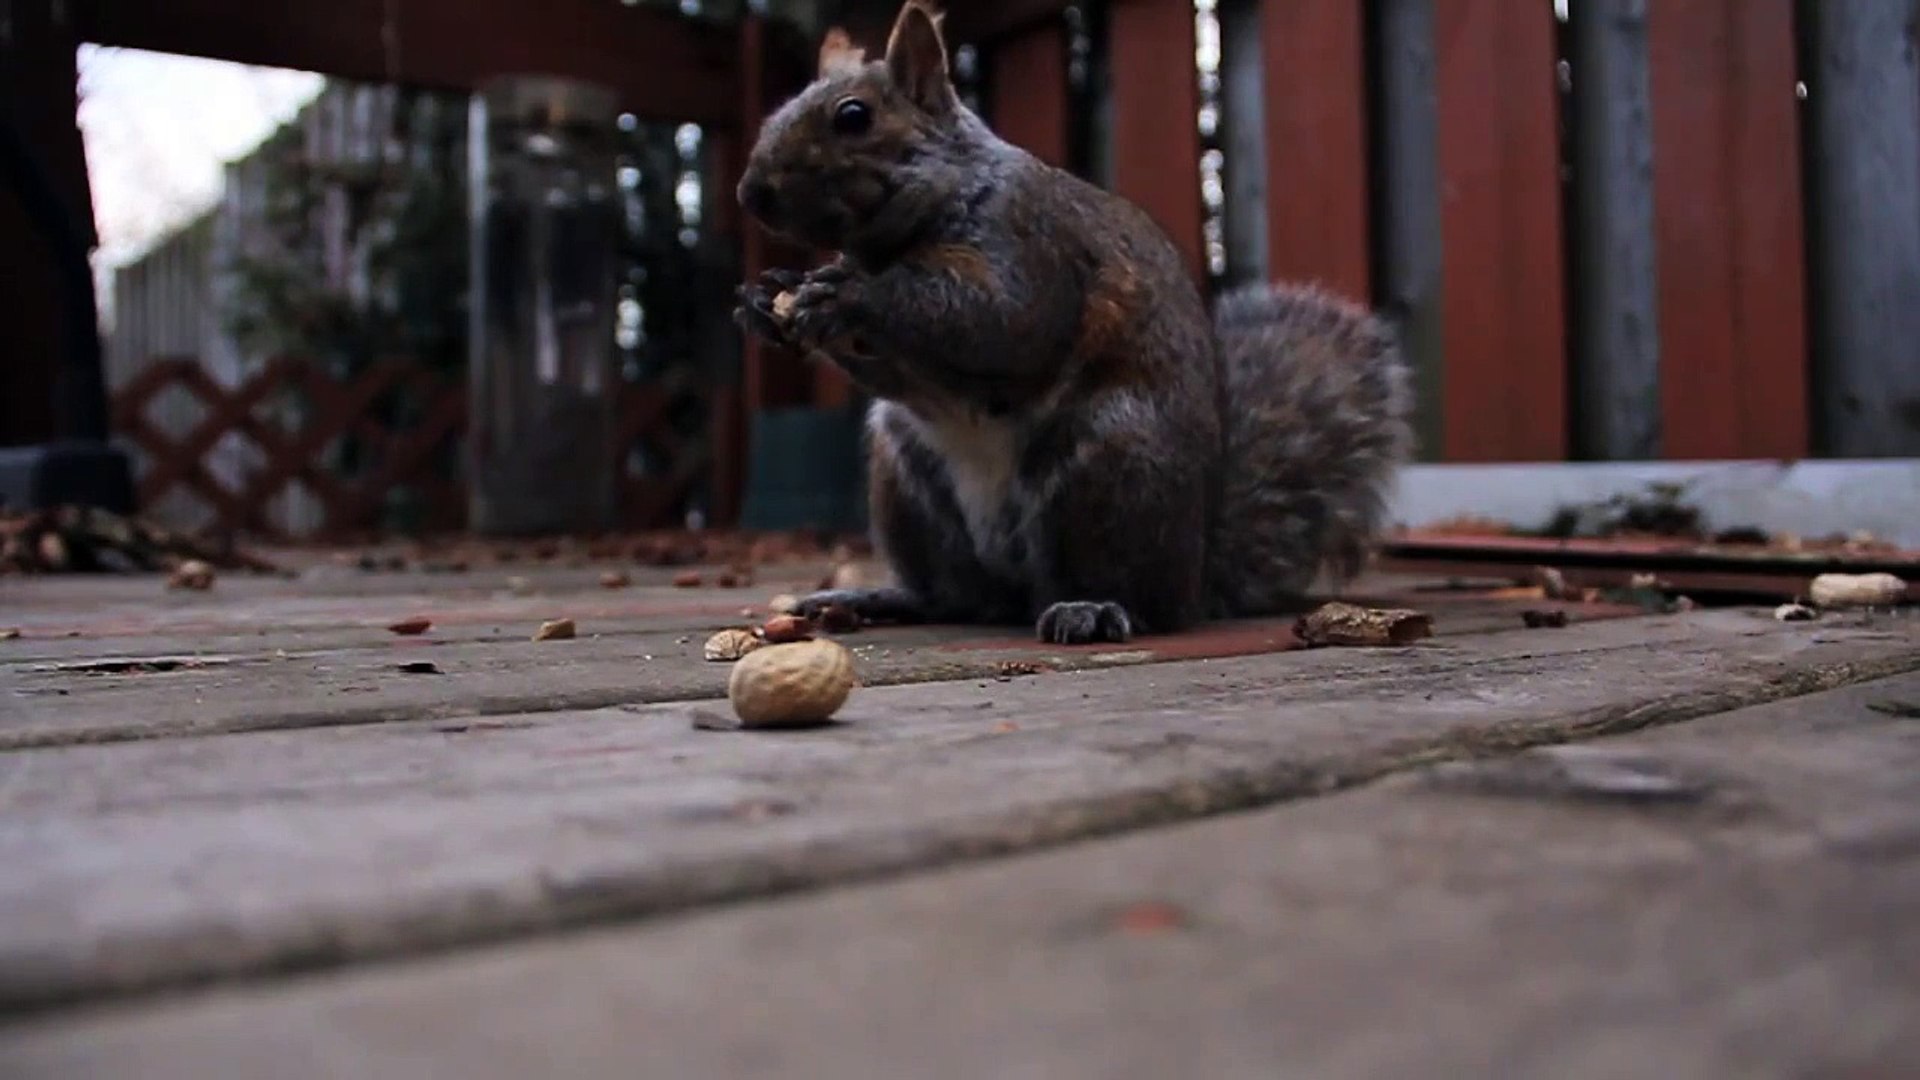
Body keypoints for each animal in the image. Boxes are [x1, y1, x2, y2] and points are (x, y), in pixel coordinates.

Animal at [733, 0, 1414, 645]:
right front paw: (765, 301)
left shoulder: (1029, 244)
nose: (750, 193)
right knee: (956, 596)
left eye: (854, 117)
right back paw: (881, 598)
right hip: (905, 478)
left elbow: (996, 321)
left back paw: (1092, 606)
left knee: (1128, 592)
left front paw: (850, 297)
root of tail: (1195, 574)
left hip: (1108, 464)